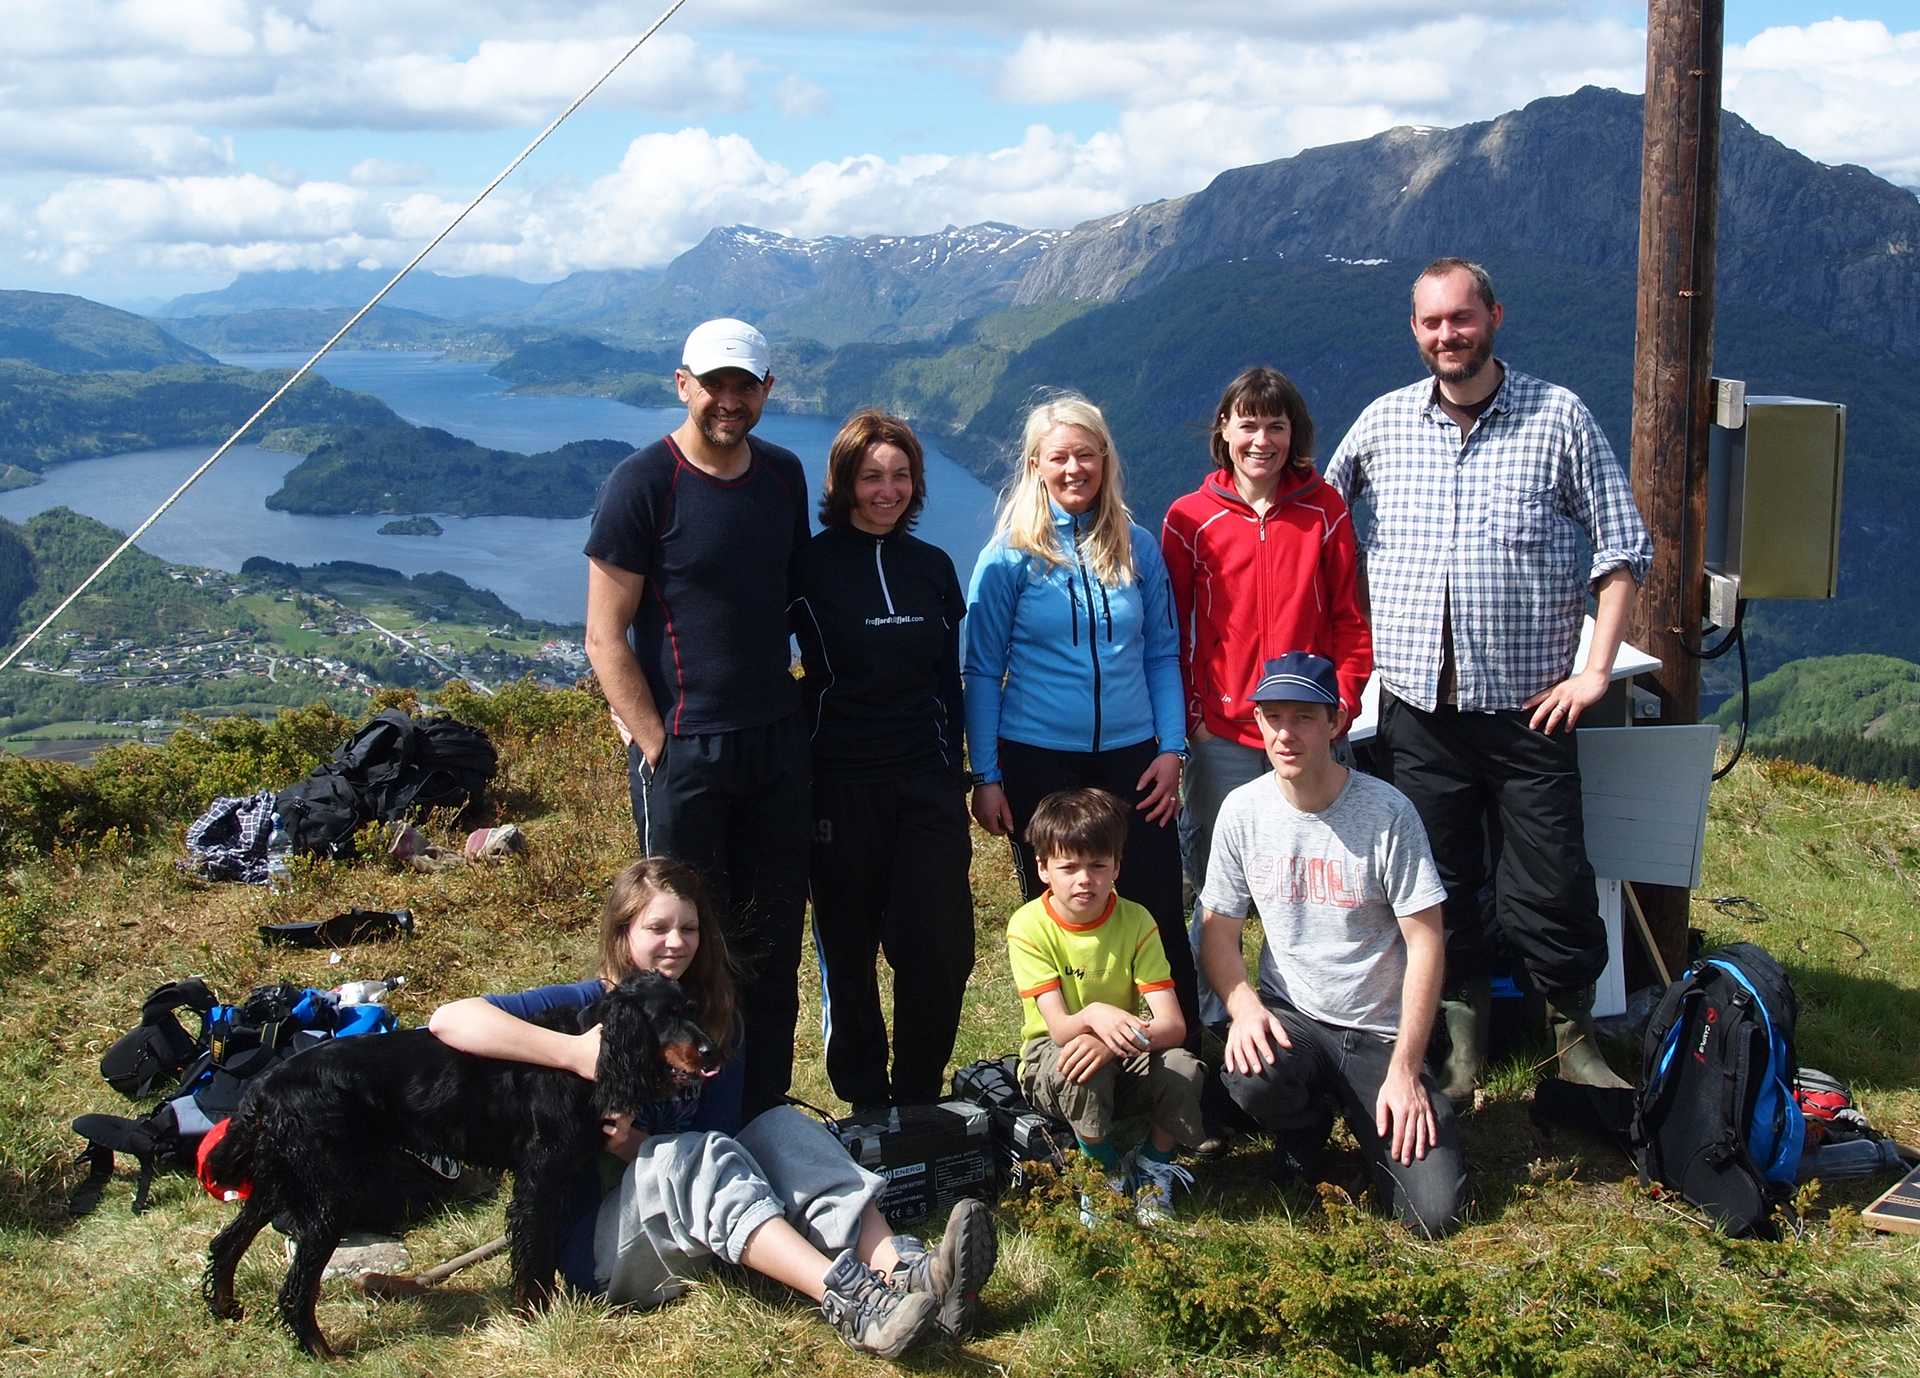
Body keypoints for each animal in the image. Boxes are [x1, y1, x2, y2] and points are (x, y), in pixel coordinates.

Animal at [204, 971, 721, 1358]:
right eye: (664, 1016)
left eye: (691, 1009)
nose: (711, 1051)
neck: (590, 1050)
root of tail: (266, 1085)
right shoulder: (539, 1179)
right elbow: (533, 1252)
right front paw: (534, 1317)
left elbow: (547, 1249)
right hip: (330, 1195)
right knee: (297, 1284)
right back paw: (321, 1352)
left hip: (282, 1183)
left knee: (227, 1242)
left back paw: (225, 1308)